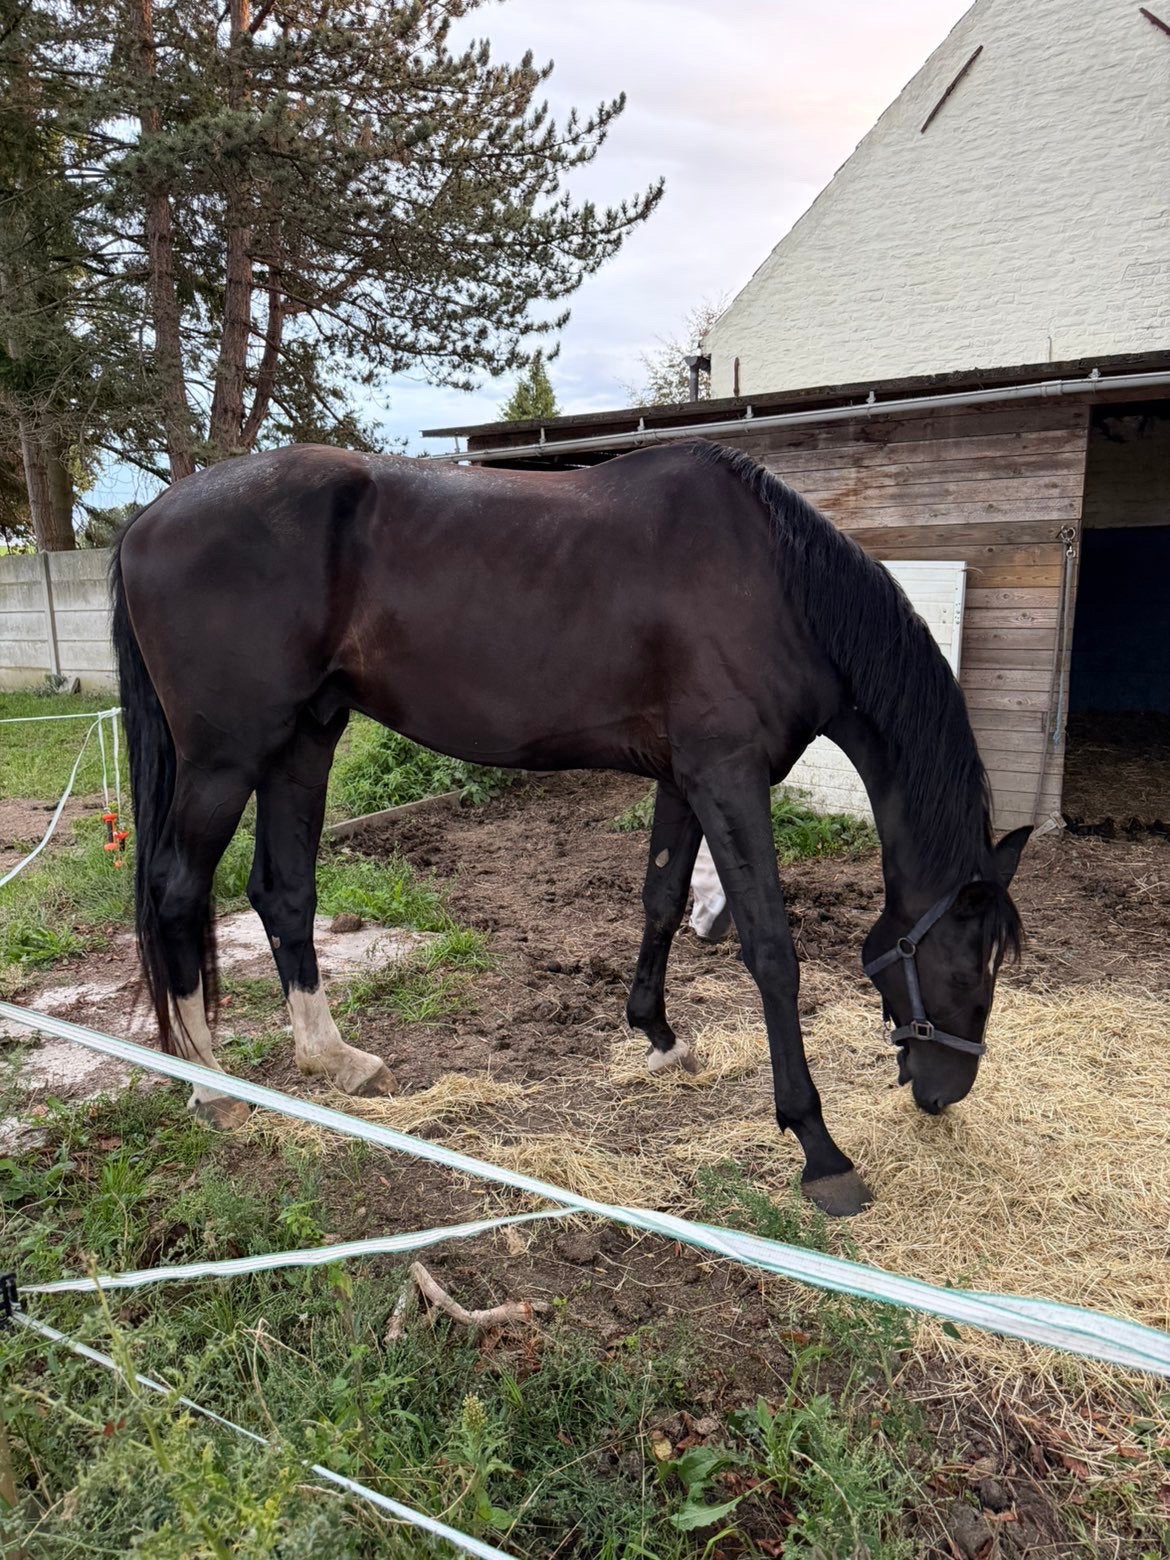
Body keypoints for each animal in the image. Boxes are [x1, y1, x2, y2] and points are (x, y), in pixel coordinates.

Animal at [110, 438, 1029, 1218]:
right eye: (966, 965)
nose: (944, 1092)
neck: (777, 588)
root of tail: (148, 519)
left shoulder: (686, 779)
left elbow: (662, 899)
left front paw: (659, 1038)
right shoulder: (728, 778)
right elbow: (772, 951)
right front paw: (819, 1149)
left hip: (305, 736)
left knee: (283, 892)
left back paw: (334, 1060)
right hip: (227, 757)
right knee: (177, 892)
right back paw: (212, 1089)